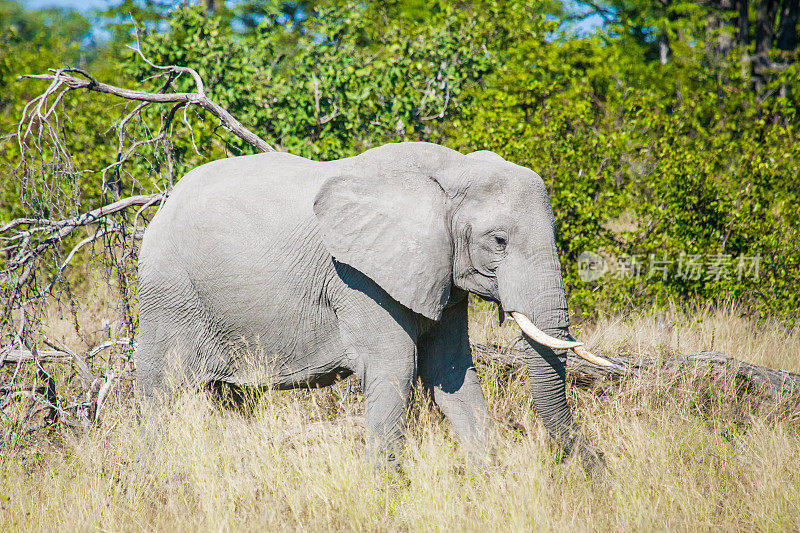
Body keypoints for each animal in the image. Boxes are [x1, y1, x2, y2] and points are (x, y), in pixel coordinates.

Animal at [138, 140, 608, 470]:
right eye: (499, 241)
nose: (599, 468)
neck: (450, 171)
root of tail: (163, 203)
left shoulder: (439, 272)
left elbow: (451, 370)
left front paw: (487, 482)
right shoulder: (358, 279)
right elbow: (396, 368)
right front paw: (386, 495)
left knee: (231, 400)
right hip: (170, 295)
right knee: (160, 391)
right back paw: (154, 479)